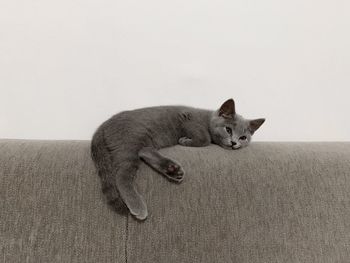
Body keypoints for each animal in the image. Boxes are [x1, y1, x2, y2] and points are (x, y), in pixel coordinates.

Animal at [91, 99, 266, 221]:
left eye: (243, 137)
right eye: (228, 129)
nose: (234, 143)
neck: (206, 118)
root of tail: (103, 125)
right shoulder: (189, 118)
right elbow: (204, 138)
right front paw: (185, 141)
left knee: (144, 151)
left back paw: (172, 170)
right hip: (131, 140)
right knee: (122, 175)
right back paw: (138, 206)